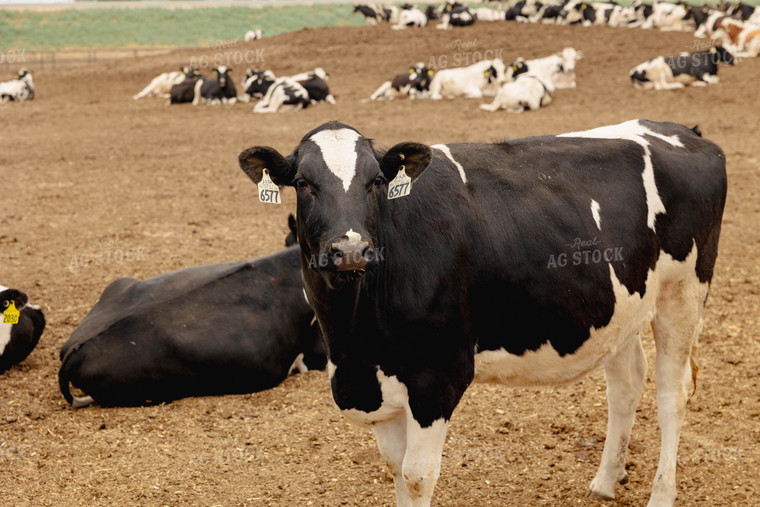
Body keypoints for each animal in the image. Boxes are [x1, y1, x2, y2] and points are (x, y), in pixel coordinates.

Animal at [240, 119, 728, 507]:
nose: (351, 250)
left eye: (377, 180)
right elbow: (395, 468)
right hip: (621, 308)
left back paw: (661, 495)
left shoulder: (438, 377)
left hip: (683, 292)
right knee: (625, 386)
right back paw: (606, 480)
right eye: (303, 182)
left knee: (672, 394)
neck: (354, 340)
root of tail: (684, 131)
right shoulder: (377, 386)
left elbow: (416, 477)